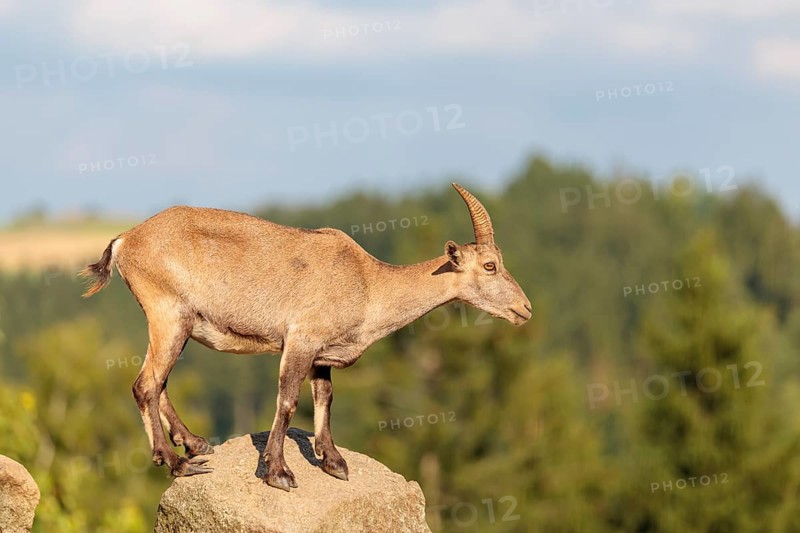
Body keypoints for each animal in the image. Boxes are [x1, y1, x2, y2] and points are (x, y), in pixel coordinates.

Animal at [80, 183, 531, 491]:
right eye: (490, 265)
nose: (525, 309)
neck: (368, 284)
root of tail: (125, 239)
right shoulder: (300, 340)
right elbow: (287, 401)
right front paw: (279, 473)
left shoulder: (321, 355)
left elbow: (325, 398)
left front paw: (334, 463)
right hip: (168, 313)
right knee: (145, 384)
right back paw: (176, 463)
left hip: (177, 323)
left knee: (159, 381)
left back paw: (195, 443)